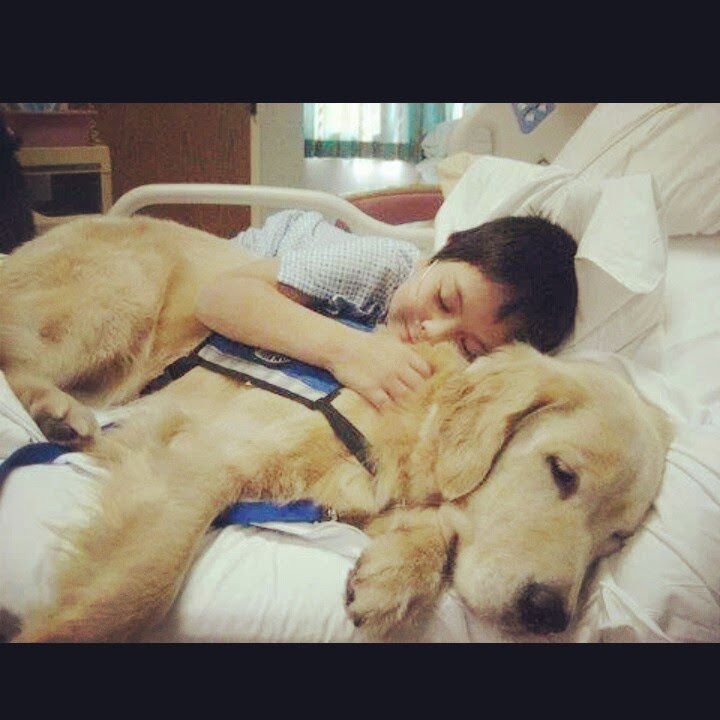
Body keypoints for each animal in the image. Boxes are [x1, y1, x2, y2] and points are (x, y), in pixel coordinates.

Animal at [0, 215, 673, 642]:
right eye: (562, 473)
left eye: (617, 539)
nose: (547, 616)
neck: (414, 409)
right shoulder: (197, 465)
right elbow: (131, 596)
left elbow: (433, 527)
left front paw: (393, 575)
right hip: (120, 294)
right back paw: (58, 410)